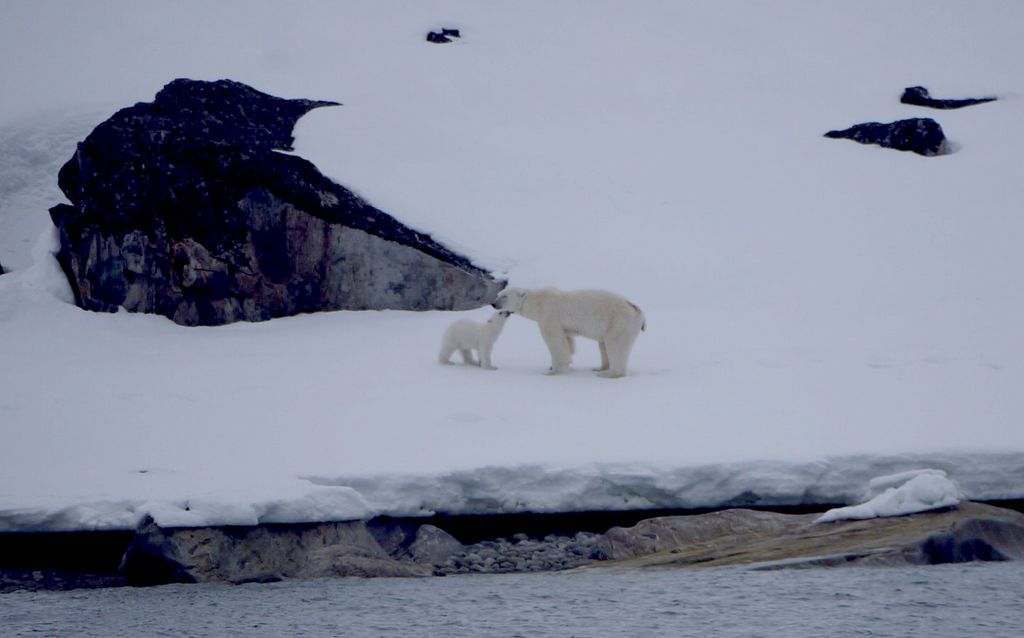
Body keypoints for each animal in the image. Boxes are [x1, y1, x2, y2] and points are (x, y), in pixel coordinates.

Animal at [491, 286, 643, 376]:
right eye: (498, 294)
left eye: (504, 296)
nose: (493, 303)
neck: (537, 302)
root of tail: (638, 311)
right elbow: (567, 340)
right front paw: (555, 365)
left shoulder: (549, 314)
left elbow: (554, 340)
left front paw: (555, 370)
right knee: (603, 345)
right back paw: (600, 368)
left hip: (618, 322)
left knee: (615, 346)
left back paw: (608, 373)